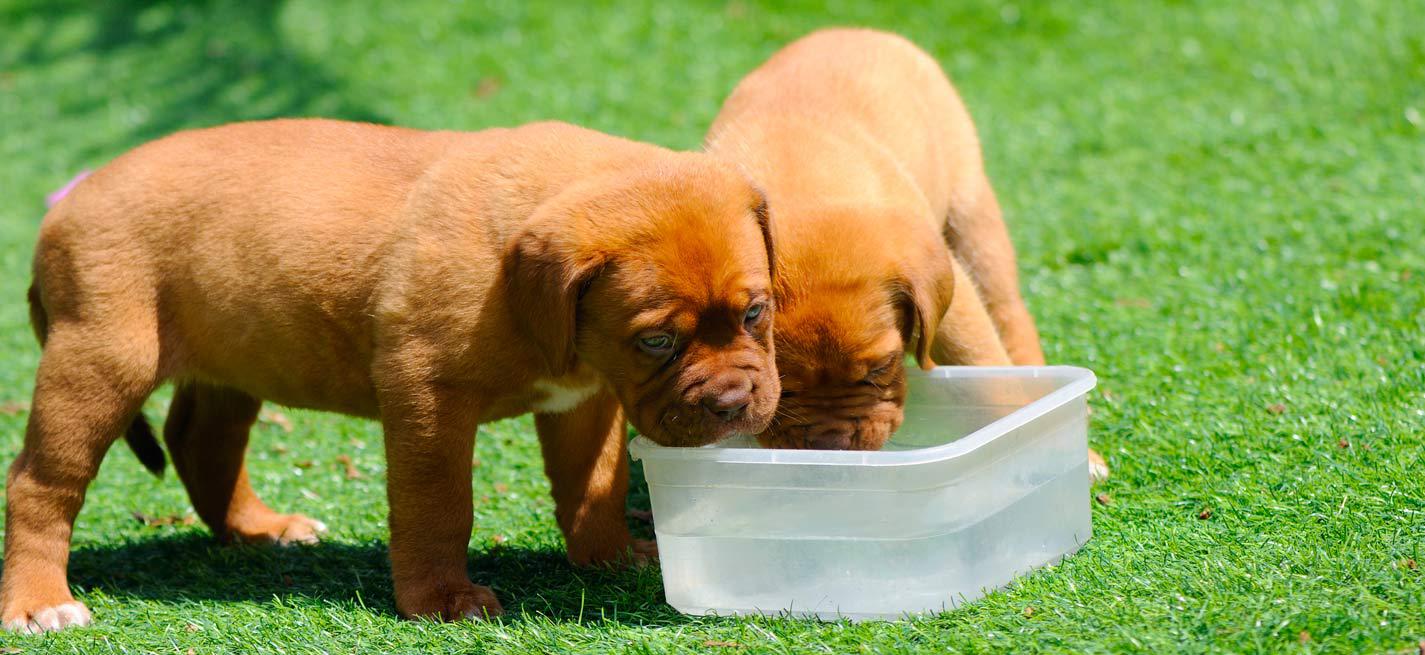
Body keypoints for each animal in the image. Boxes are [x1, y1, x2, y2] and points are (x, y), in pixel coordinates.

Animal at [2, 118, 780, 635]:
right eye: (655, 340)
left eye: (756, 311)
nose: (734, 402)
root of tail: (65, 205)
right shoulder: (428, 393)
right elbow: (439, 504)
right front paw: (441, 600)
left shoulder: (583, 400)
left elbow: (593, 485)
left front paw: (609, 557)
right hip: (102, 356)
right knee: (42, 482)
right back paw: (40, 601)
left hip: (233, 355)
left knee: (201, 441)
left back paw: (260, 528)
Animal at [706, 28, 1105, 475]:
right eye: (781, 385)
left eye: (881, 369)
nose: (831, 445)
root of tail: (852, 31)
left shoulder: (955, 299)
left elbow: (984, 366)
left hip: (973, 216)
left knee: (1008, 312)